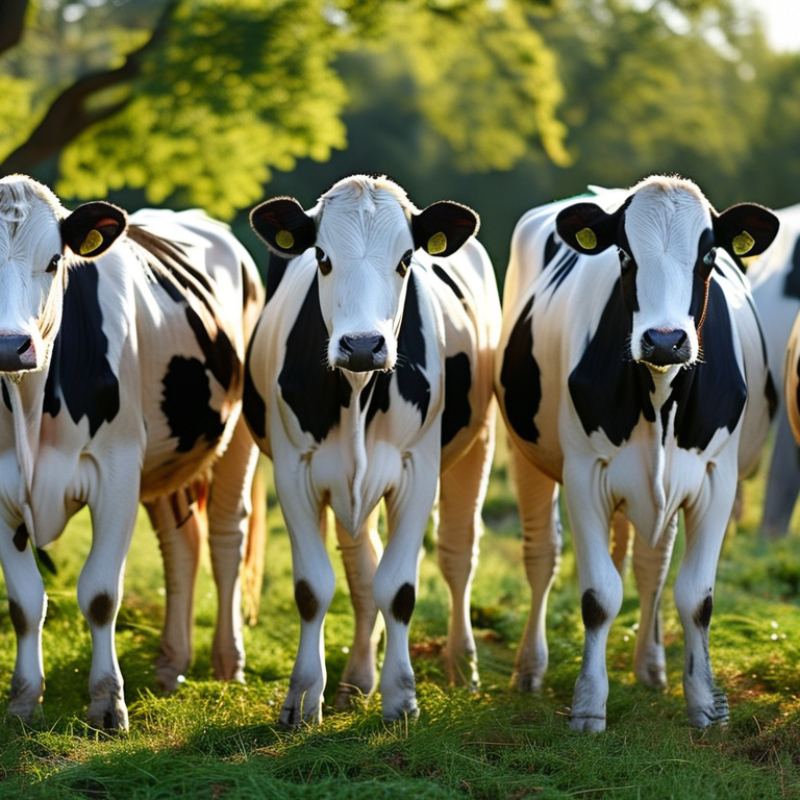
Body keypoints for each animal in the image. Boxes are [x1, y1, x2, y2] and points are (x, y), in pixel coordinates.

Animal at [0, 175, 265, 730]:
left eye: (54, 261)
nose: (10, 345)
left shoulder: (117, 473)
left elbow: (100, 594)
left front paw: (107, 703)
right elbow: (25, 604)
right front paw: (22, 702)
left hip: (238, 434)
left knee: (226, 537)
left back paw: (227, 664)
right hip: (166, 461)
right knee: (181, 544)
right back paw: (171, 664)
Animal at [244, 174, 500, 725]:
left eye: (406, 259)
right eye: (321, 256)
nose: (363, 344)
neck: (358, 390)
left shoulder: (417, 472)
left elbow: (398, 588)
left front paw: (401, 696)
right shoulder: (295, 473)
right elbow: (315, 588)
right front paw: (304, 696)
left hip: (479, 443)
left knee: (458, 554)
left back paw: (463, 667)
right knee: (362, 568)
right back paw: (356, 679)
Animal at [495, 175, 778, 732]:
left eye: (709, 254)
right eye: (625, 254)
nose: (665, 340)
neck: (659, 395)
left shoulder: (716, 480)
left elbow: (695, 597)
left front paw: (704, 704)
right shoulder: (584, 476)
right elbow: (599, 596)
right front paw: (588, 705)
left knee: (651, 566)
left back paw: (651, 668)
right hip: (524, 456)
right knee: (543, 556)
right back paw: (530, 670)